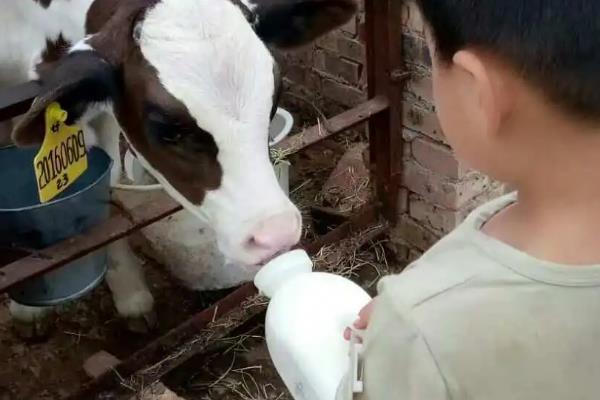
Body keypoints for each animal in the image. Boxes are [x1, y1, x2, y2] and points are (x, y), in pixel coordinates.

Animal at [1, 0, 356, 332]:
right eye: (166, 128)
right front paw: (28, 306)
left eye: (272, 101)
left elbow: (108, 184)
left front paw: (130, 294)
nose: (275, 234)